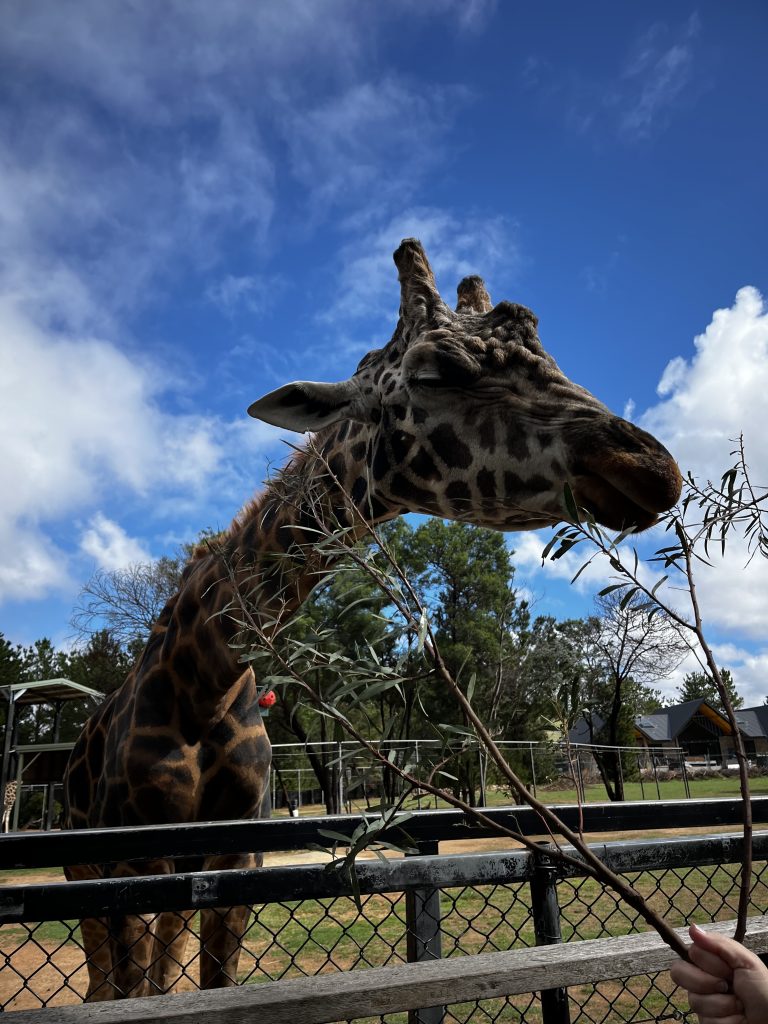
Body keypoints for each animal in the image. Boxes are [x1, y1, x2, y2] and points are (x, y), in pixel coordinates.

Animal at [63, 238, 682, 1000]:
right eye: (435, 372)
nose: (650, 467)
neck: (204, 679)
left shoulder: (233, 857)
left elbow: (211, 985)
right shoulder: (125, 861)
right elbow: (130, 995)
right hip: (88, 875)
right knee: (110, 984)